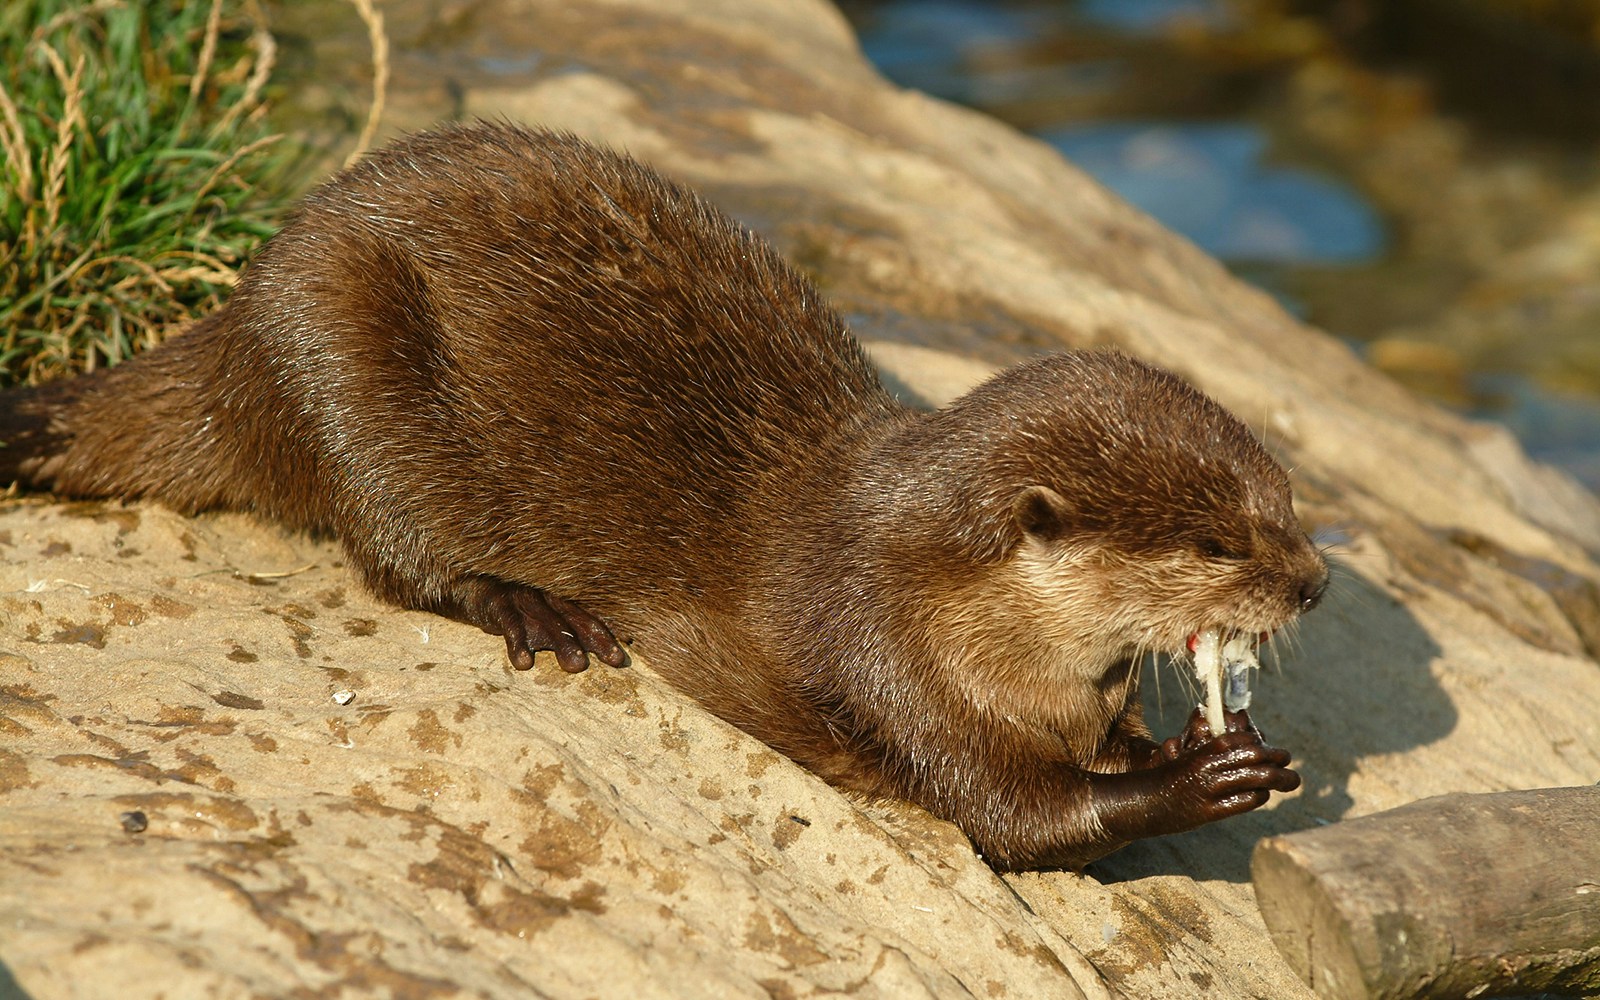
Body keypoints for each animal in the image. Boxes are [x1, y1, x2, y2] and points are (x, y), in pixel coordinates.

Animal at [0, 122, 1327, 870]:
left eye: (1287, 501)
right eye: (1218, 542)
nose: (1312, 583)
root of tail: (235, 319)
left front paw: (1181, 738)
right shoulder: (882, 656)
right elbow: (1014, 817)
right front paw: (1196, 777)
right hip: (336, 347)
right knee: (392, 550)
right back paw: (532, 608)